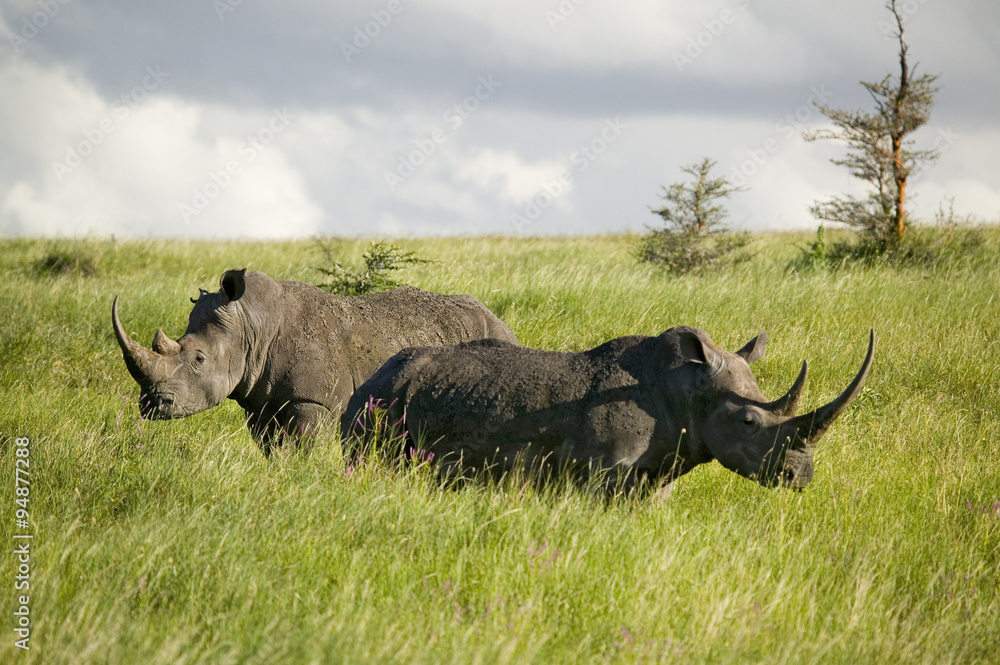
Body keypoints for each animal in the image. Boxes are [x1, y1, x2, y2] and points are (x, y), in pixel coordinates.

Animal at [112, 269, 519, 455]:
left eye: (198, 359)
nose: (151, 404)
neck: (251, 325)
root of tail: (500, 321)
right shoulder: (262, 402)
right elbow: (273, 451)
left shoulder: (314, 401)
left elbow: (304, 450)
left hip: (495, 336)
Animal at [342, 326, 873, 494]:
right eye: (749, 423)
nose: (800, 477)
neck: (685, 388)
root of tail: (370, 376)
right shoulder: (603, 471)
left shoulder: (657, 472)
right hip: (377, 401)